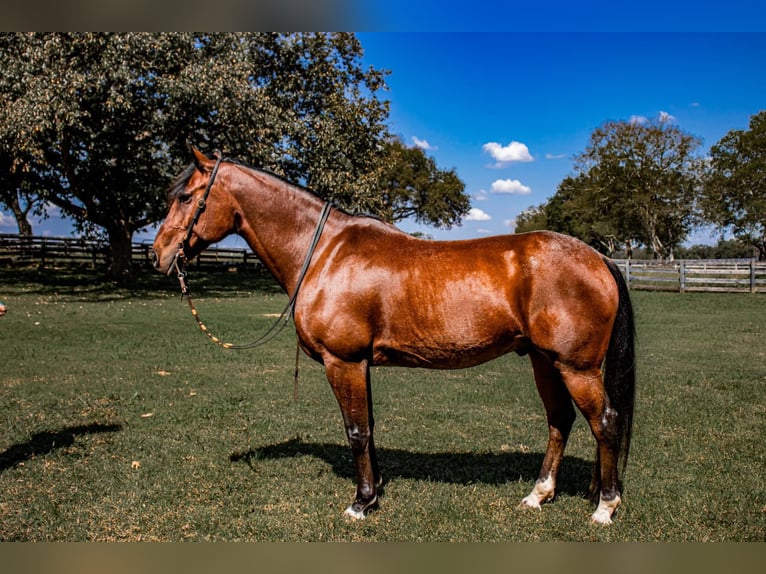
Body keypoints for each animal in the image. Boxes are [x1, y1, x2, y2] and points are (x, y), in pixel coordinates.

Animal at [153, 148, 640, 528]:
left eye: (186, 197)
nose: (158, 254)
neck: (324, 252)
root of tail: (598, 257)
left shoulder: (343, 361)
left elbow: (355, 431)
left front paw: (360, 503)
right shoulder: (360, 364)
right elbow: (368, 425)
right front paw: (376, 490)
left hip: (576, 367)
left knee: (606, 422)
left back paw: (605, 506)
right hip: (544, 361)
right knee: (561, 421)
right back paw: (539, 495)